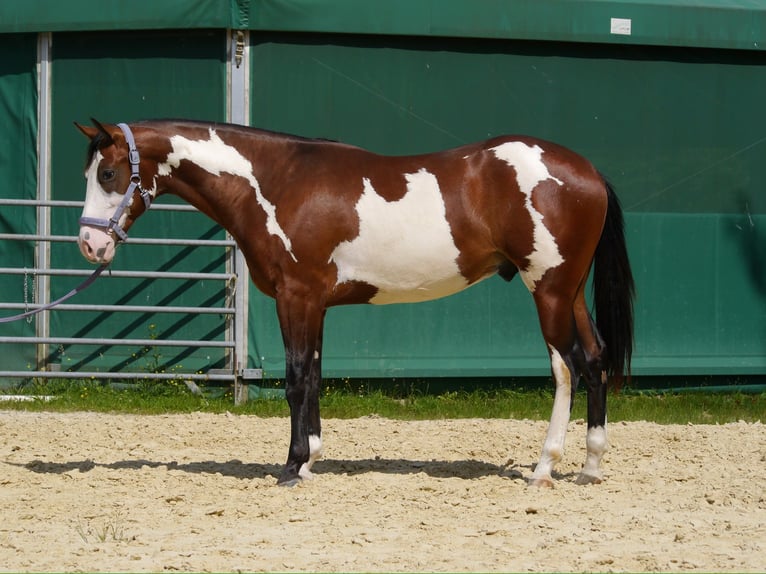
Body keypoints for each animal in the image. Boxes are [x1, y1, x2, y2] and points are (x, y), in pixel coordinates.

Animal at [75, 119, 634, 487]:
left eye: (107, 174)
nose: (90, 244)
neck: (275, 183)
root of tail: (587, 171)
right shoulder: (315, 304)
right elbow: (315, 375)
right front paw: (311, 459)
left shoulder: (295, 297)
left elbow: (296, 379)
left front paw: (291, 467)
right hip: (570, 292)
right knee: (596, 360)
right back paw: (590, 465)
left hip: (548, 290)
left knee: (568, 367)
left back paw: (544, 467)